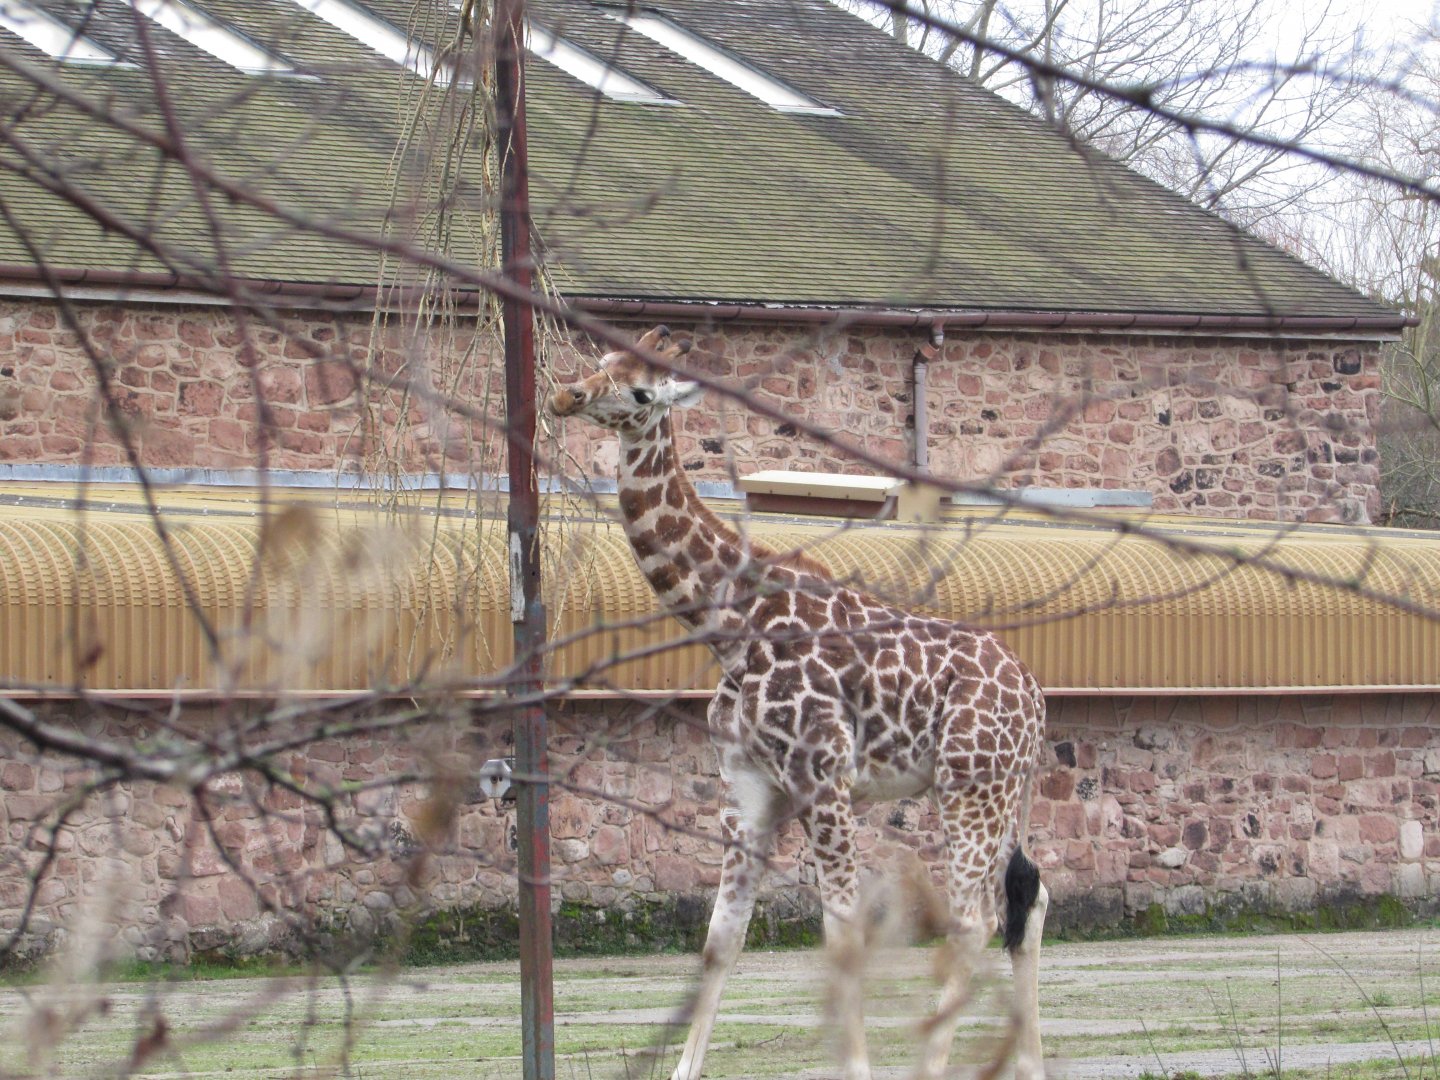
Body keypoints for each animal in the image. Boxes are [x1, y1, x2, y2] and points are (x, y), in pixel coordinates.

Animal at [548, 326, 1048, 1080]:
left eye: (639, 390)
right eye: (601, 361)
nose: (567, 396)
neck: (730, 623)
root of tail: (1035, 698)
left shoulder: (823, 775)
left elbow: (842, 931)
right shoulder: (753, 790)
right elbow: (720, 940)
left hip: (971, 786)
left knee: (975, 919)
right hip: (1001, 790)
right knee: (1027, 898)